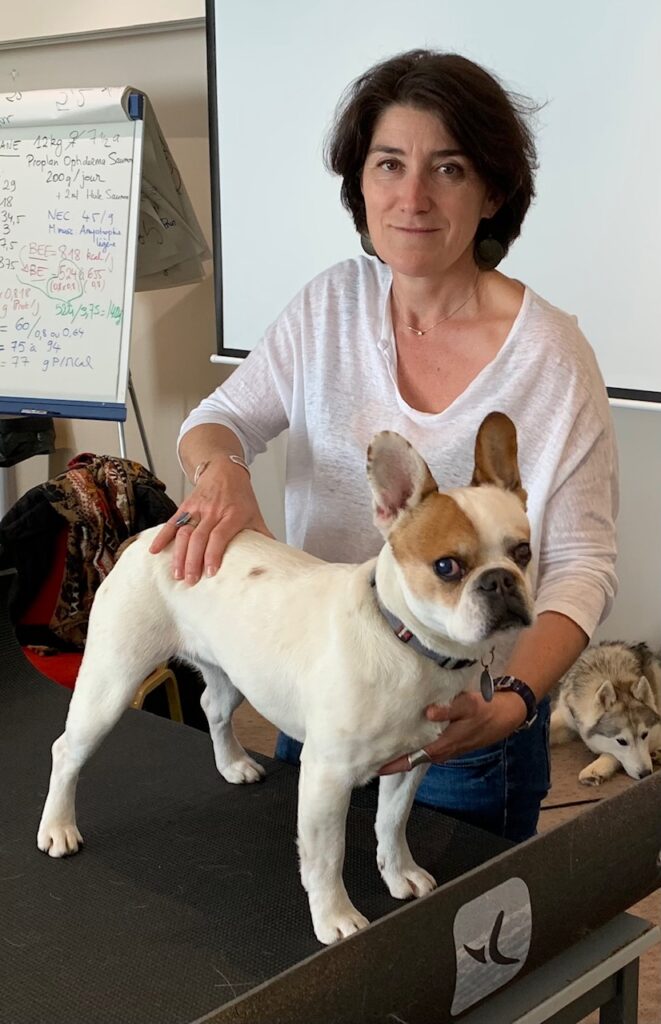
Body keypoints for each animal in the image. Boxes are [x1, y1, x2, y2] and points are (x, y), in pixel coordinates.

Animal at [552, 643, 661, 786]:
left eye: (645, 735)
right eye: (621, 741)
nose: (646, 774)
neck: (614, 679)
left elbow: (612, 753)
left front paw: (597, 767)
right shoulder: (567, 715)